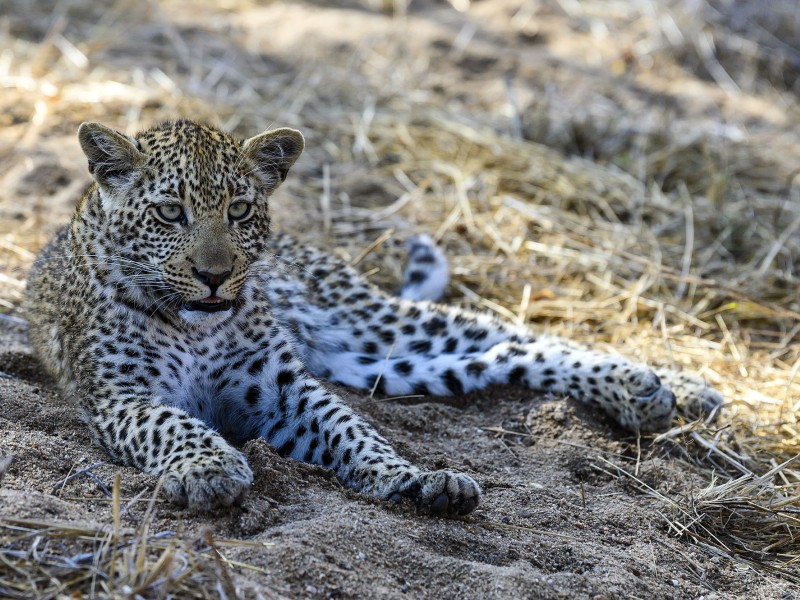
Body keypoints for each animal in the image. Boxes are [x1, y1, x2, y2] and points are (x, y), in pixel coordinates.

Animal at [24, 119, 724, 517]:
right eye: (170, 213)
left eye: (240, 210)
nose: (215, 275)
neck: (195, 325)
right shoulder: (122, 395)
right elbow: (173, 424)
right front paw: (210, 469)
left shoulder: (284, 384)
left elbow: (351, 430)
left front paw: (410, 477)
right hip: (388, 366)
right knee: (502, 357)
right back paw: (652, 393)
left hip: (376, 322)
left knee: (515, 333)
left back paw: (675, 386)